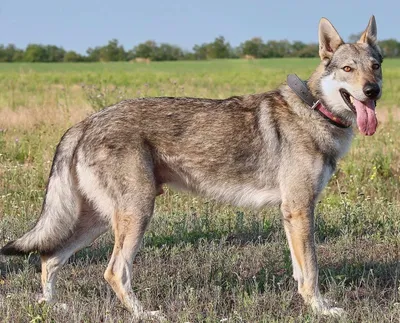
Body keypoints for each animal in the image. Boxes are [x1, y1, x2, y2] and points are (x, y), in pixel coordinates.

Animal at [0, 16, 382, 320]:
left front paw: (308, 305)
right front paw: (321, 310)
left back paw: (52, 307)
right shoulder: (300, 209)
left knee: (48, 257)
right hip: (136, 214)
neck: (316, 112)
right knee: (113, 271)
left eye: (375, 66)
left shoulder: (292, 213)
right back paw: (145, 314)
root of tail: (85, 121)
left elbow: (300, 271)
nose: (373, 91)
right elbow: (313, 270)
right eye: (348, 69)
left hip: (97, 221)